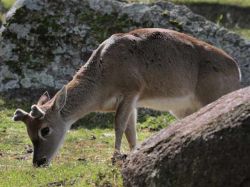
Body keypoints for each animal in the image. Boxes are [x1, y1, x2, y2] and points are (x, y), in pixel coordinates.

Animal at [12, 28, 241, 167]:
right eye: (28, 131)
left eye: (45, 129)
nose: (39, 161)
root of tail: (237, 71)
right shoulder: (132, 102)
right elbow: (131, 130)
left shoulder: (131, 90)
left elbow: (119, 125)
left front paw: (115, 158)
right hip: (183, 109)